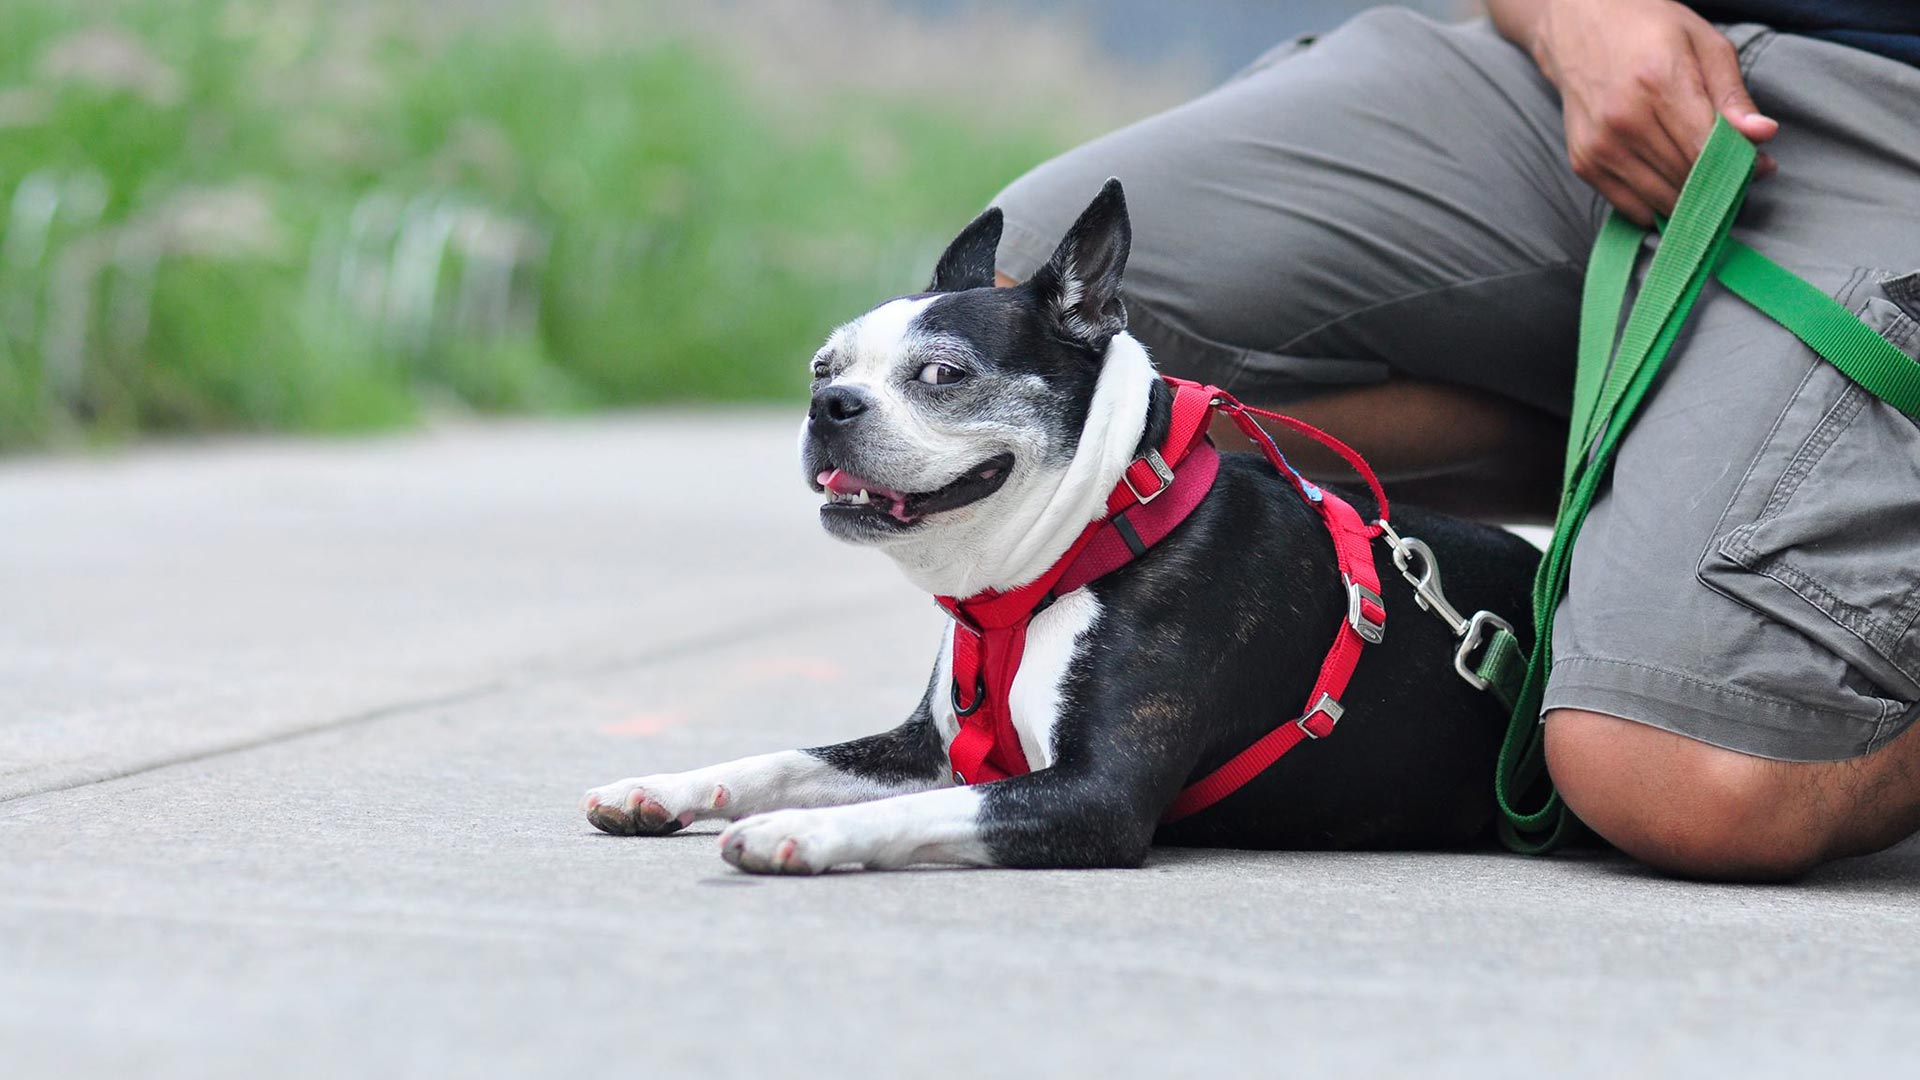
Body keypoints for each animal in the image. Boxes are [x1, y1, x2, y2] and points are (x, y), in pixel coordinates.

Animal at [583, 176, 1543, 864]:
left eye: (942, 375)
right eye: (823, 366)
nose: (830, 404)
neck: (1084, 540)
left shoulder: (1095, 796)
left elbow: (939, 805)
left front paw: (807, 835)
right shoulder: (922, 748)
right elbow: (786, 759)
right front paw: (664, 789)